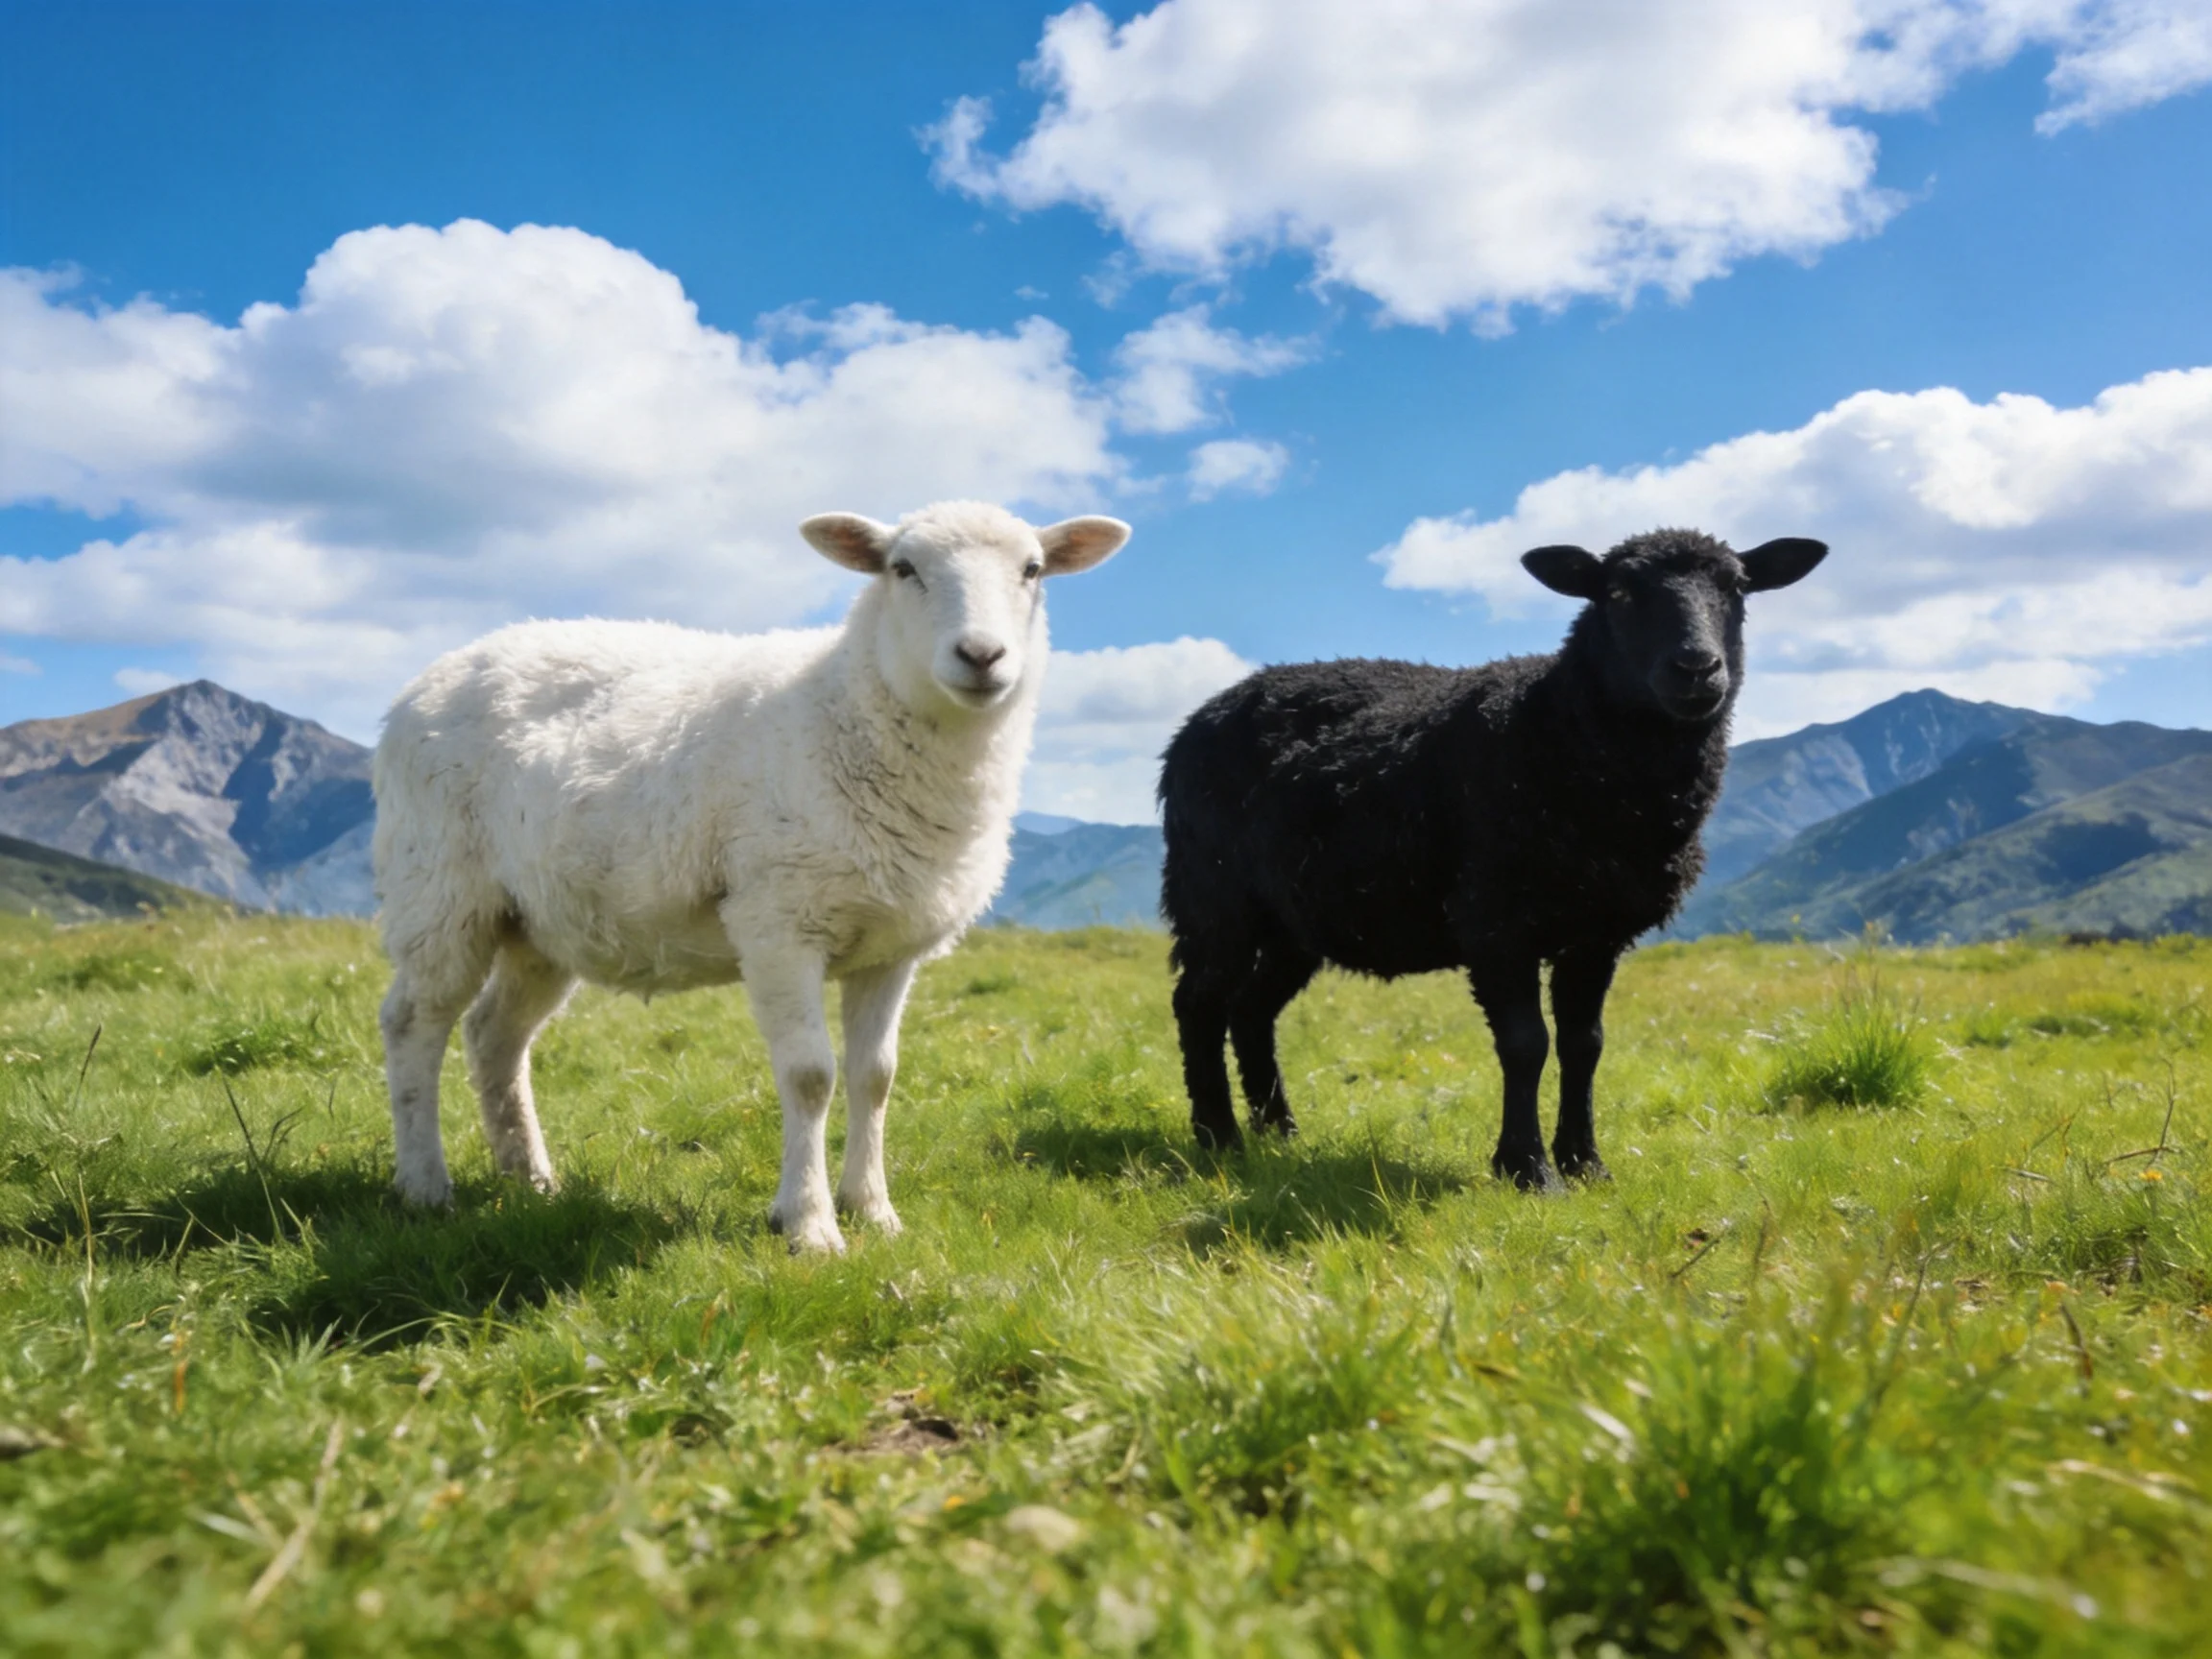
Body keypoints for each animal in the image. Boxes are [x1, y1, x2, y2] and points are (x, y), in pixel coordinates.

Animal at [372, 501, 1130, 1251]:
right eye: (902, 568)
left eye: (1032, 570)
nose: (981, 656)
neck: (845, 707)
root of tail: (425, 681)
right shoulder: (778, 923)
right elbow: (810, 1076)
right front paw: (810, 1224)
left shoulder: (889, 947)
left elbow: (876, 1077)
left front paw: (873, 1210)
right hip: (440, 890)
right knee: (413, 1022)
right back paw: (425, 1185)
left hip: (541, 921)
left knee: (494, 1034)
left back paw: (528, 1178)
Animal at [1157, 528, 1826, 1189]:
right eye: (1616, 593)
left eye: (1737, 588)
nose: (1695, 668)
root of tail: (1196, 720)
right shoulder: (1496, 921)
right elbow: (1526, 1043)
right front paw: (1526, 1168)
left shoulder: (1597, 932)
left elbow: (1585, 1044)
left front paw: (1585, 1163)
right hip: (1212, 894)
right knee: (1199, 1003)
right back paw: (1219, 1136)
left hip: (1294, 919)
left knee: (1251, 1009)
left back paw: (1280, 1134)